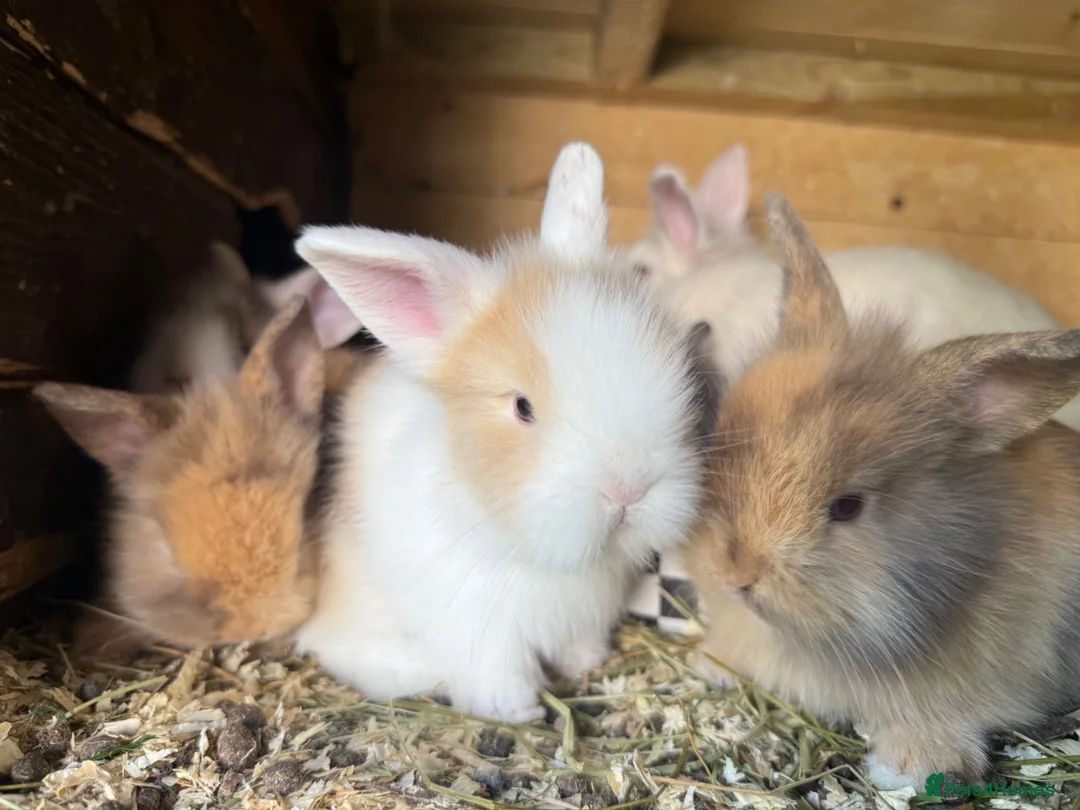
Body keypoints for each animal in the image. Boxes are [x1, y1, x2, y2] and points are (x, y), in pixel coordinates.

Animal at [293, 142, 708, 723]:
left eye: (677, 369)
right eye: (522, 407)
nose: (628, 492)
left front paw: (585, 664)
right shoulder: (479, 627)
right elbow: (498, 674)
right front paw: (519, 714)